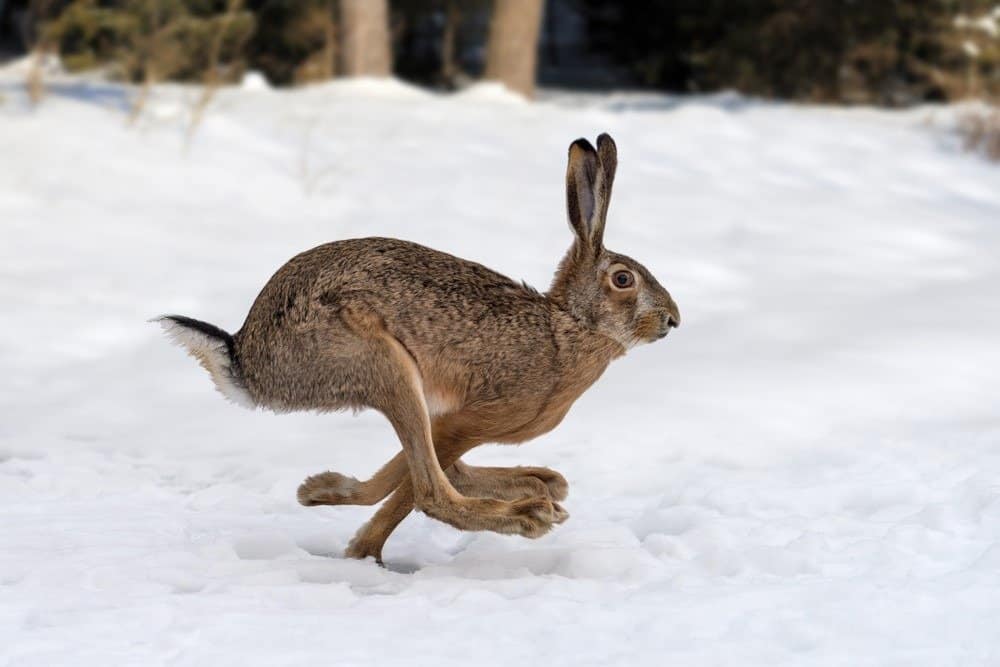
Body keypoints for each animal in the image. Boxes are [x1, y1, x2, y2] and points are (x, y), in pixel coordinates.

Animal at [156, 133, 680, 563]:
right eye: (623, 279)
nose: (672, 320)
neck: (566, 326)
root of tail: (246, 360)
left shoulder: (450, 420)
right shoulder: (471, 418)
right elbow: (411, 490)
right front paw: (360, 546)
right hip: (383, 364)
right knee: (432, 492)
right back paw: (527, 512)